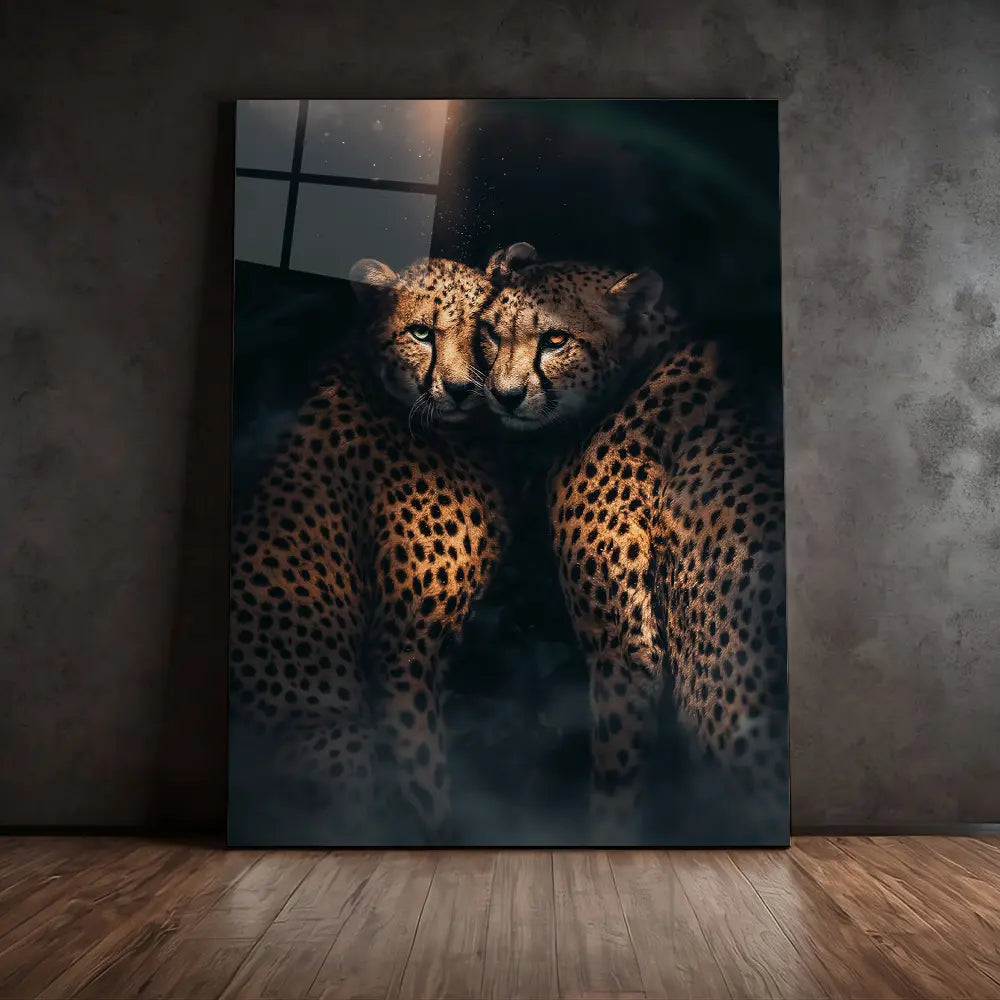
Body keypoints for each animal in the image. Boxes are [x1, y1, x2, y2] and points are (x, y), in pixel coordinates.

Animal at [228, 256, 507, 844]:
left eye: (485, 332)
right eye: (422, 333)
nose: (460, 389)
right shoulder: (405, 647)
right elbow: (423, 771)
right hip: (336, 733)